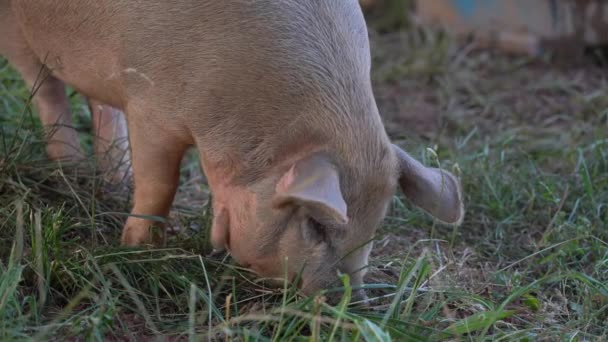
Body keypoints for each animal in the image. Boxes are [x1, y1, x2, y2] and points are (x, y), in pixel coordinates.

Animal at [1, 0, 466, 296]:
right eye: (317, 226)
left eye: (374, 229)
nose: (347, 303)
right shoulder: (152, 107)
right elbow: (161, 183)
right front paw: (138, 248)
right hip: (15, 29)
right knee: (46, 88)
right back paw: (71, 168)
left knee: (98, 103)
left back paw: (111, 179)